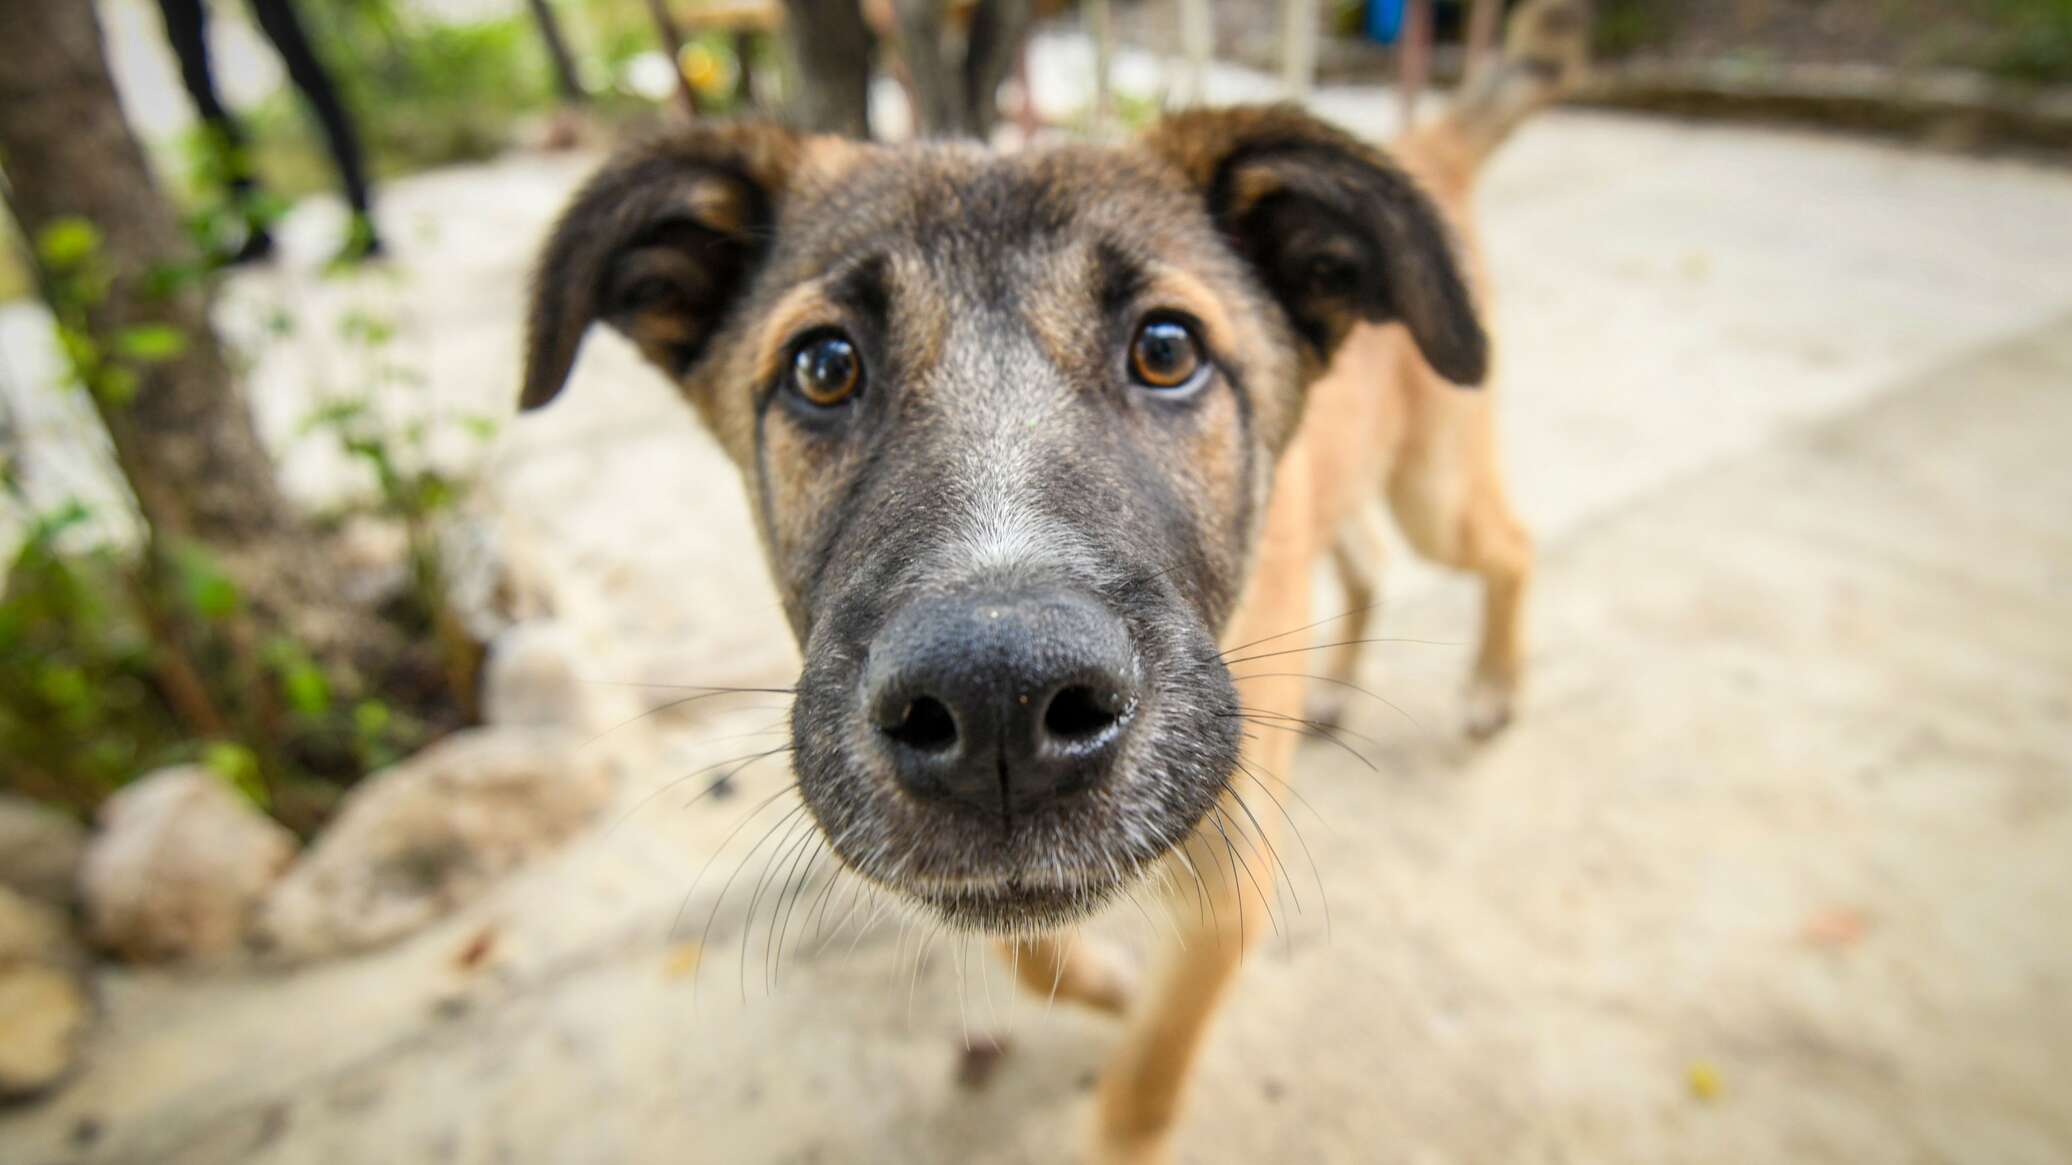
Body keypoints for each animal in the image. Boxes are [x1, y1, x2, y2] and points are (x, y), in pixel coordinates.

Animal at [518, 6, 1583, 1152]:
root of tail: (1423, 150)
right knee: (1369, 558)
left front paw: (1125, 1058)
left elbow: (1142, 1086)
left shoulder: (1229, 876)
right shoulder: (985, 879)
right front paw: (1104, 983)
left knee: (1509, 546)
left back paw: (1492, 687)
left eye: (1167, 349)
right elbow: (1026, 948)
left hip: (1436, 486)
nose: (997, 701)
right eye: (822, 366)